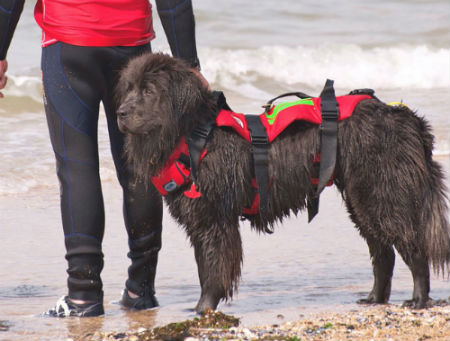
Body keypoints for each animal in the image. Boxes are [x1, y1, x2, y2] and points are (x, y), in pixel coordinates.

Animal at [115, 51, 450, 312]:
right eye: (128, 89)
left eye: (148, 91)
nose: (119, 112)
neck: (193, 136)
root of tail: (404, 116)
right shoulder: (201, 220)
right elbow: (204, 266)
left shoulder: (215, 219)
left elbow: (214, 268)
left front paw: (203, 309)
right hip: (361, 199)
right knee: (383, 252)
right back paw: (375, 298)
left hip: (383, 192)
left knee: (412, 245)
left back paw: (419, 299)